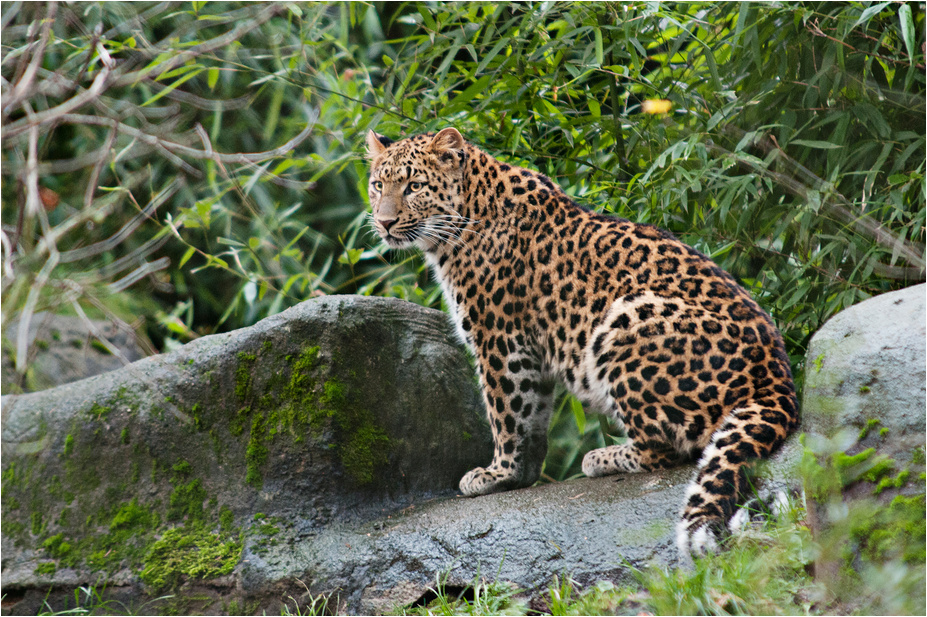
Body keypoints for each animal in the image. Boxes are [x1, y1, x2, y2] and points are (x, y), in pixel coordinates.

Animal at [365, 127, 799, 558]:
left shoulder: (499, 339)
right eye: (378, 185)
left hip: (626, 318)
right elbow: (531, 412)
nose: (384, 223)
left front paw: (496, 473)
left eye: (414, 186)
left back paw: (604, 457)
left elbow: (504, 410)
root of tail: (778, 378)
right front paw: (522, 474)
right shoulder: (529, 349)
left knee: (672, 447)